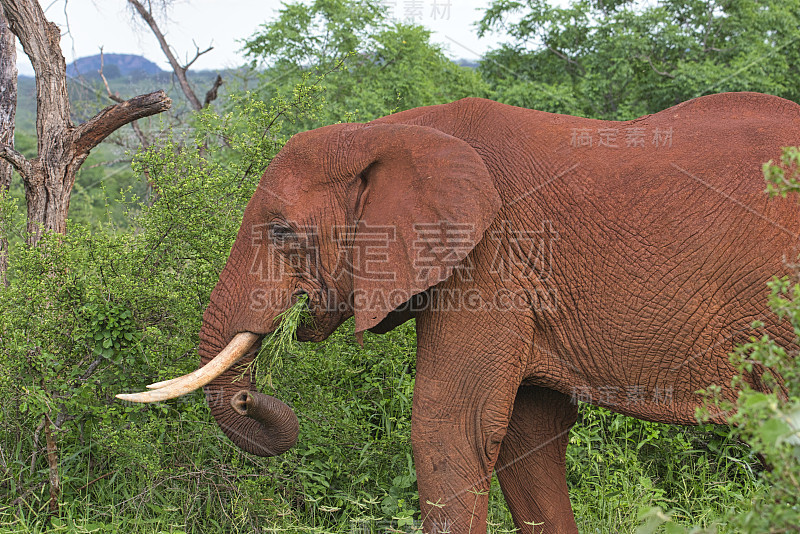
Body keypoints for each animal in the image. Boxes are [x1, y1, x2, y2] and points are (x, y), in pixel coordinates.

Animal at [119, 92, 800, 534]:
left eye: (283, 231)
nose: (248, 396)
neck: (389, 131)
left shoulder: (489, 260)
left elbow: (448, 427)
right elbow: (529, 435)